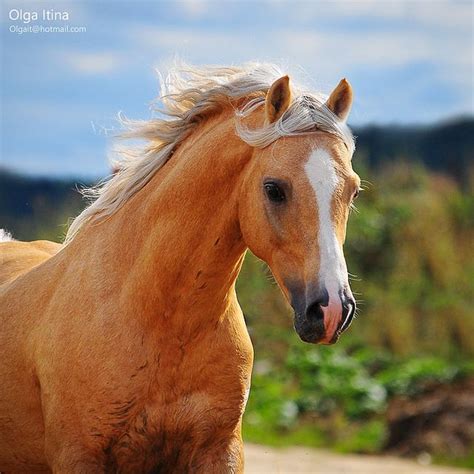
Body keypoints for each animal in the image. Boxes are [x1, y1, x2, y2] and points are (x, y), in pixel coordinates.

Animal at [0, 62, 360, 470]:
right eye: (274, 188)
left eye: (353, 190)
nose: (331, 310)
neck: (161, 323)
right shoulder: (78, 456)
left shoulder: (219, 451)